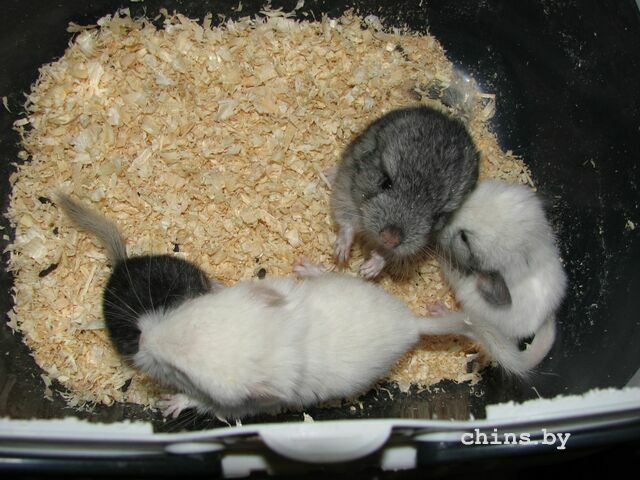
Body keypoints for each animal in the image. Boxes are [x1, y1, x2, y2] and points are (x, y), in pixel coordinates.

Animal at [137, 259, 531, 420]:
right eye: (188, 309)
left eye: (183, 372)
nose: (141, 340)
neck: (275, 338)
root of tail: (411, 324)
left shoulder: (240, 407)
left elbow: (201, 403)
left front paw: (169, 404)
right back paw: (306, 267)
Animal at [330, 106, 479, 279]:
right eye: (386, 182)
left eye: (437, 216)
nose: (389, 239)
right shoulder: (345, 191)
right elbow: (347, 225)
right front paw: (340, 254)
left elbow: (387, 256)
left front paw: (367, 271)